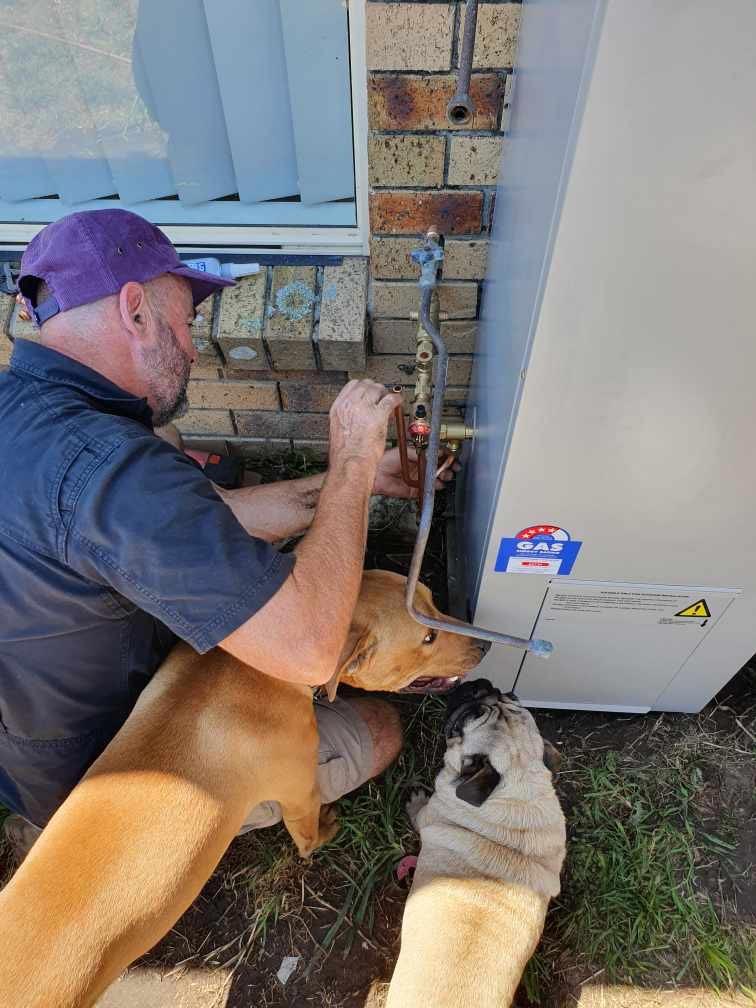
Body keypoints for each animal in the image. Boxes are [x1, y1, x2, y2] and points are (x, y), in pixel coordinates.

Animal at [0, 576, 485, 1008]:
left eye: (431, 597)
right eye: (427, 636)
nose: (486, 645)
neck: (255, 668)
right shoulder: (300, 796)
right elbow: (309, 837)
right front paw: (329, 828)